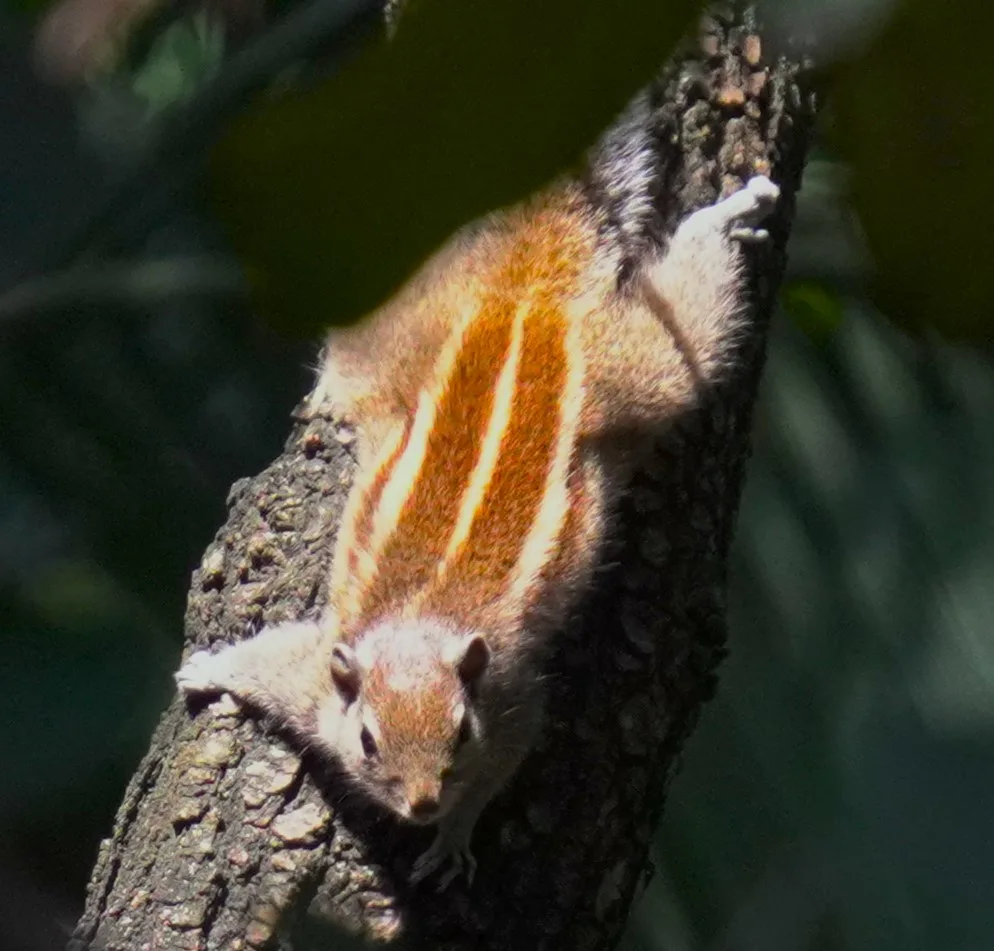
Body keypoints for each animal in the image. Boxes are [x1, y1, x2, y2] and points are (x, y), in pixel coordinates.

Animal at [175, 161, 779, 889]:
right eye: (368, 740)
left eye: (461, 732)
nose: (423, 804)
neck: (421, 626)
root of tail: (520, 304)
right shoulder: (316, 676)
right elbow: (267, 659)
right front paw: (208, 669)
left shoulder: (510, 701)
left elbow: (505, 763)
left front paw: (455, 835)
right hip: (413, 343)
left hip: (639, 371)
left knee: (691, 304)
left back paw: (731, 217)